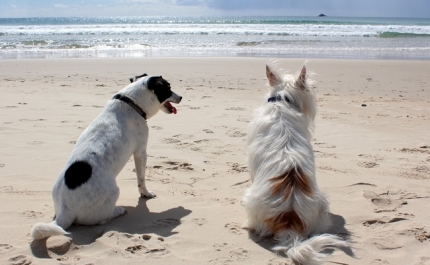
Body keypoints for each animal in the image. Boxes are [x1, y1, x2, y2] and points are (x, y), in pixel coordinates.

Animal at [30, 73, 181, 238]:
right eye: (168, 88)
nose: (181, 97)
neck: (131, 102)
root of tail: (66, 209)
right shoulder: (140, 152)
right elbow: (141, 179)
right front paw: (146, 193)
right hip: (114, 192)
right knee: (102, 219)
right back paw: (118, 210)